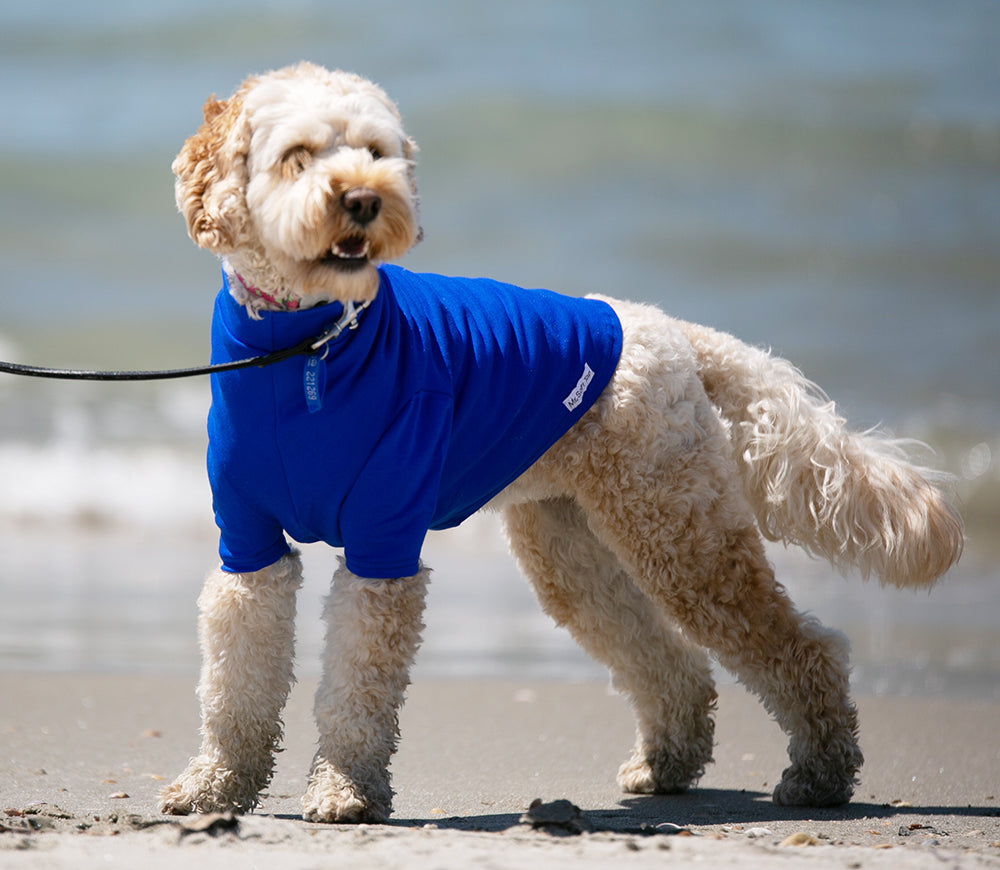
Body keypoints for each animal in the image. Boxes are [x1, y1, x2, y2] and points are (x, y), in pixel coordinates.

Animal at [160, 61, 964, 824]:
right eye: (297, 155)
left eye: (376, 152)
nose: (364, 199)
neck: (305, 344)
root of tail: (672, 330)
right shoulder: (249, 545)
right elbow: (234, 682)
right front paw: (215, 787)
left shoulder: (383, 542)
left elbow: (356, 687)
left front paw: (343, 790)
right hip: (574, 551)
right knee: (669, 660)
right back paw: (666, 764)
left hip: (681, 538)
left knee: (802, 647)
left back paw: (820, 773)